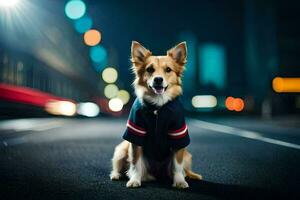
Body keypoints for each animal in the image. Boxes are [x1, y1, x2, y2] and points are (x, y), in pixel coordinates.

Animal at [109, 41, 203, 189]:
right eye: (149, 69)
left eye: (168, 70)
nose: (158, 79)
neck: (158, 105)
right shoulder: (136, 134)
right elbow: (135, 163)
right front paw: (135, 180)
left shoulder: (178, 134)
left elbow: (177, 165)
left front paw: (179, 181)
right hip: (121, 149)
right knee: (120, 165)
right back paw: (117, 174)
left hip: (187, 155)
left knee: (183, 168)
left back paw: (189, 175)